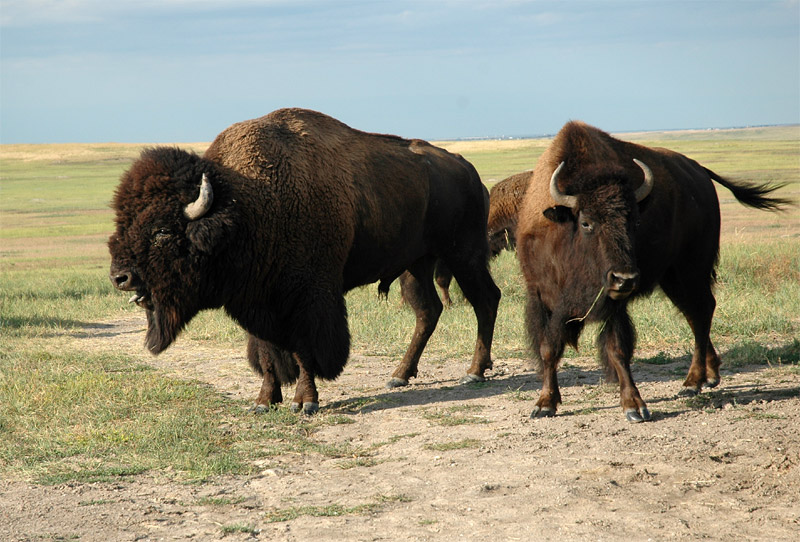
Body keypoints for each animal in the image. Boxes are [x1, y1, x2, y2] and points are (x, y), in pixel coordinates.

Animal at [108, 109, 500, 416]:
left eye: (162, 231)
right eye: (123, 222)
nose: (120, 277)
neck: (247, 204)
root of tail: (468, 169)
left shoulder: (308, 300)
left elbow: (304, 350)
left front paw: (305, 401)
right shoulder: (255, 300)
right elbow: (267, 354)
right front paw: (264, 401)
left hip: (463, 255)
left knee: (485, 300)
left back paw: (474, 371)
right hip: (416, 265)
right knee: (428, 311)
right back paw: (399, 375)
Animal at [516, 122, 792, 424]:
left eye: (635, 222)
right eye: (587, 222)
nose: (625, 279)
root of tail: (700, 173)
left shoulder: (614, 305)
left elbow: (617, 350)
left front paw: (635, 407)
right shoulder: (542, 297)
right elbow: (548, 348)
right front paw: (544, 404)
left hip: (691, 269)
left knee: (701, 313)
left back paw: (692, 383)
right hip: (673, 278)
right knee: (696, 313)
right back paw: (710, 376)